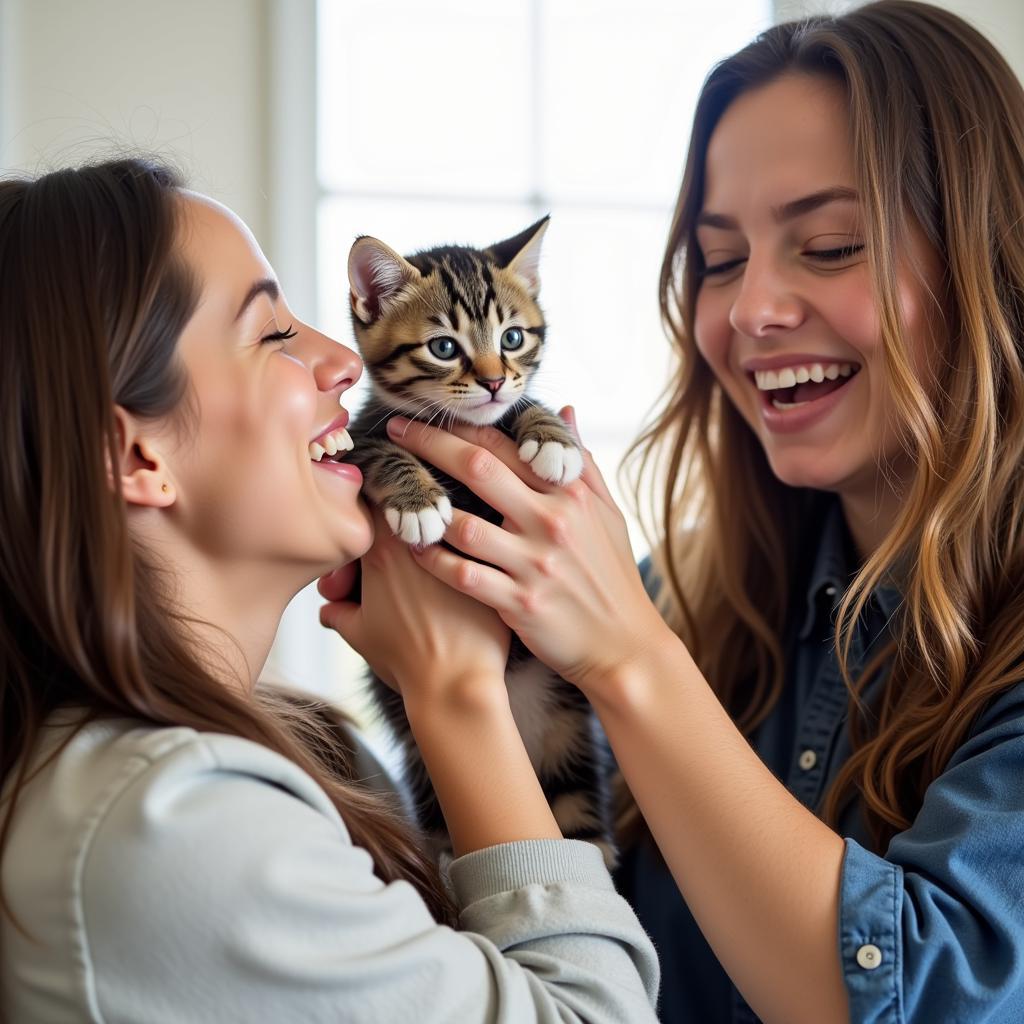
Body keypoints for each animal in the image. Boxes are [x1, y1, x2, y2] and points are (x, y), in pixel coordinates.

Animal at [344, 220, 614, 868]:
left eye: (513, 338)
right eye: (444, 347)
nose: (493, 380)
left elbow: (522, 407)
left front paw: (552, 438)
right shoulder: (358, 437)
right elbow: (378, 450)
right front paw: (417, 503)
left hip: (567, 737)